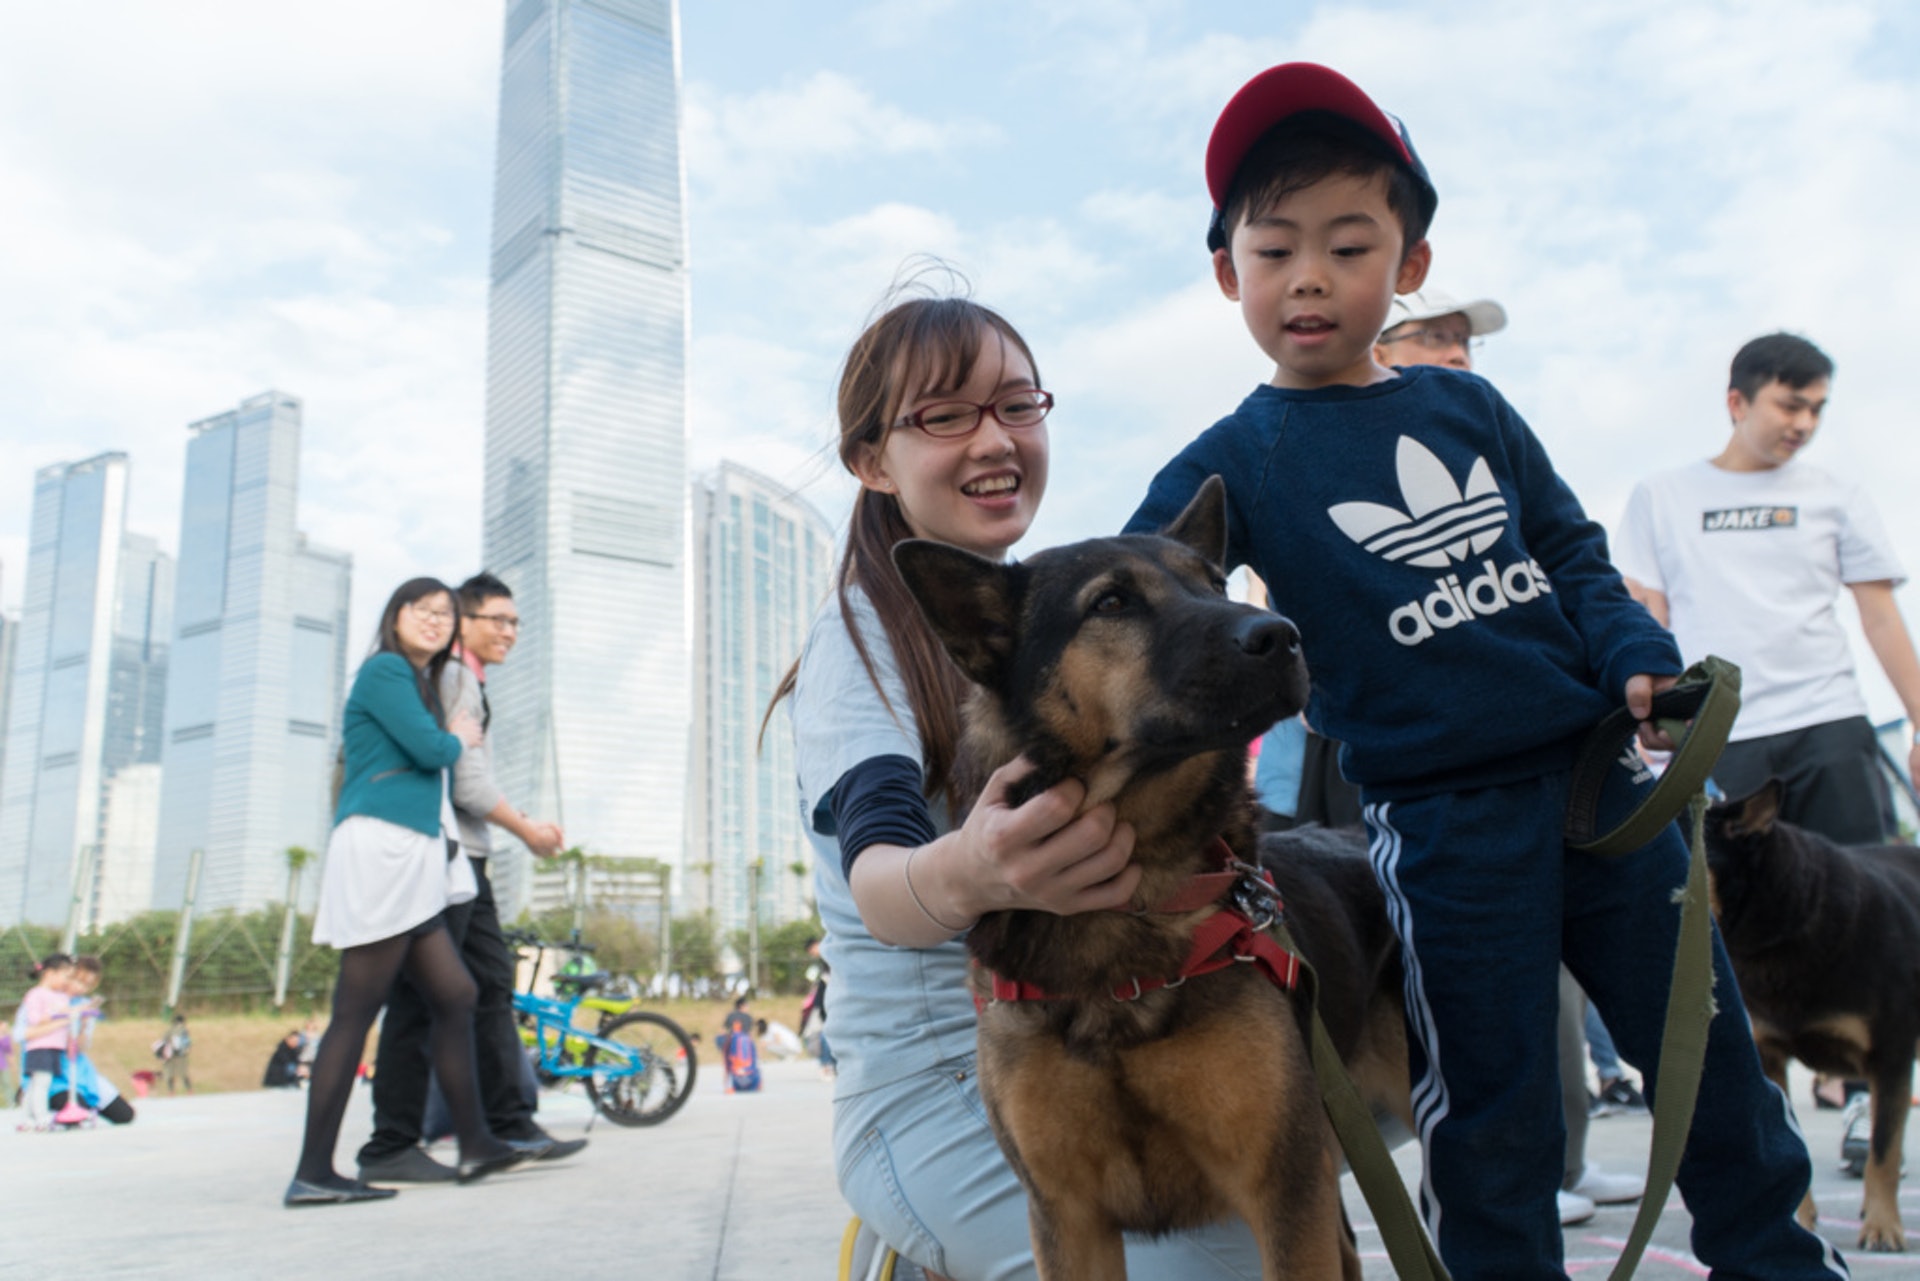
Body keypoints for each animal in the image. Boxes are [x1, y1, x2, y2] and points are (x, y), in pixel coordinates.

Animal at [894, 480, 1413, 1281]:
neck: (1131, 908)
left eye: (1217, 583)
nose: (1284, 634)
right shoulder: (1066, 1219)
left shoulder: (1284, 1193)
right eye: (1111, 603)